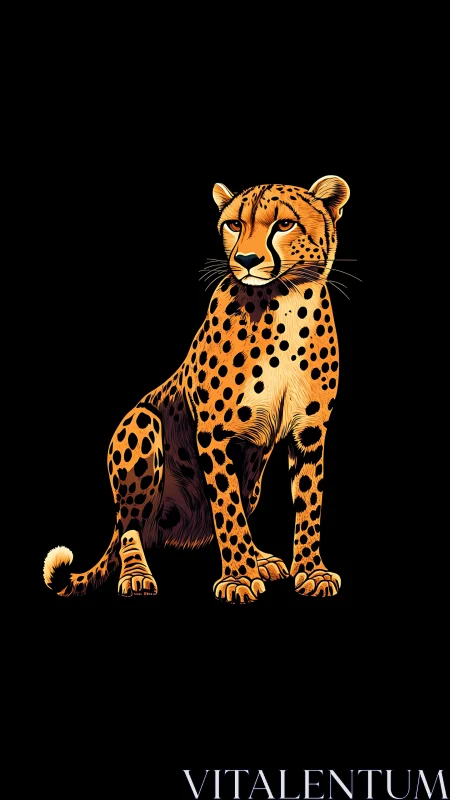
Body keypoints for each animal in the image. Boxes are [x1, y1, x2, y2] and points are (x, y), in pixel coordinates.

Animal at [44, 175, 350, 604]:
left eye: (285, 224)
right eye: (234, 224)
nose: (248, 259)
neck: (286, 300)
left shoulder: (310, 431)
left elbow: (308, 503)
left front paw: (310, 571)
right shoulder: (214, 432)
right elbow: (227, 508)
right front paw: (238, 578)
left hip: (254, 472)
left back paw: (261, 558)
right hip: (142, 425)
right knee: (130, 528)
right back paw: (137, 575)